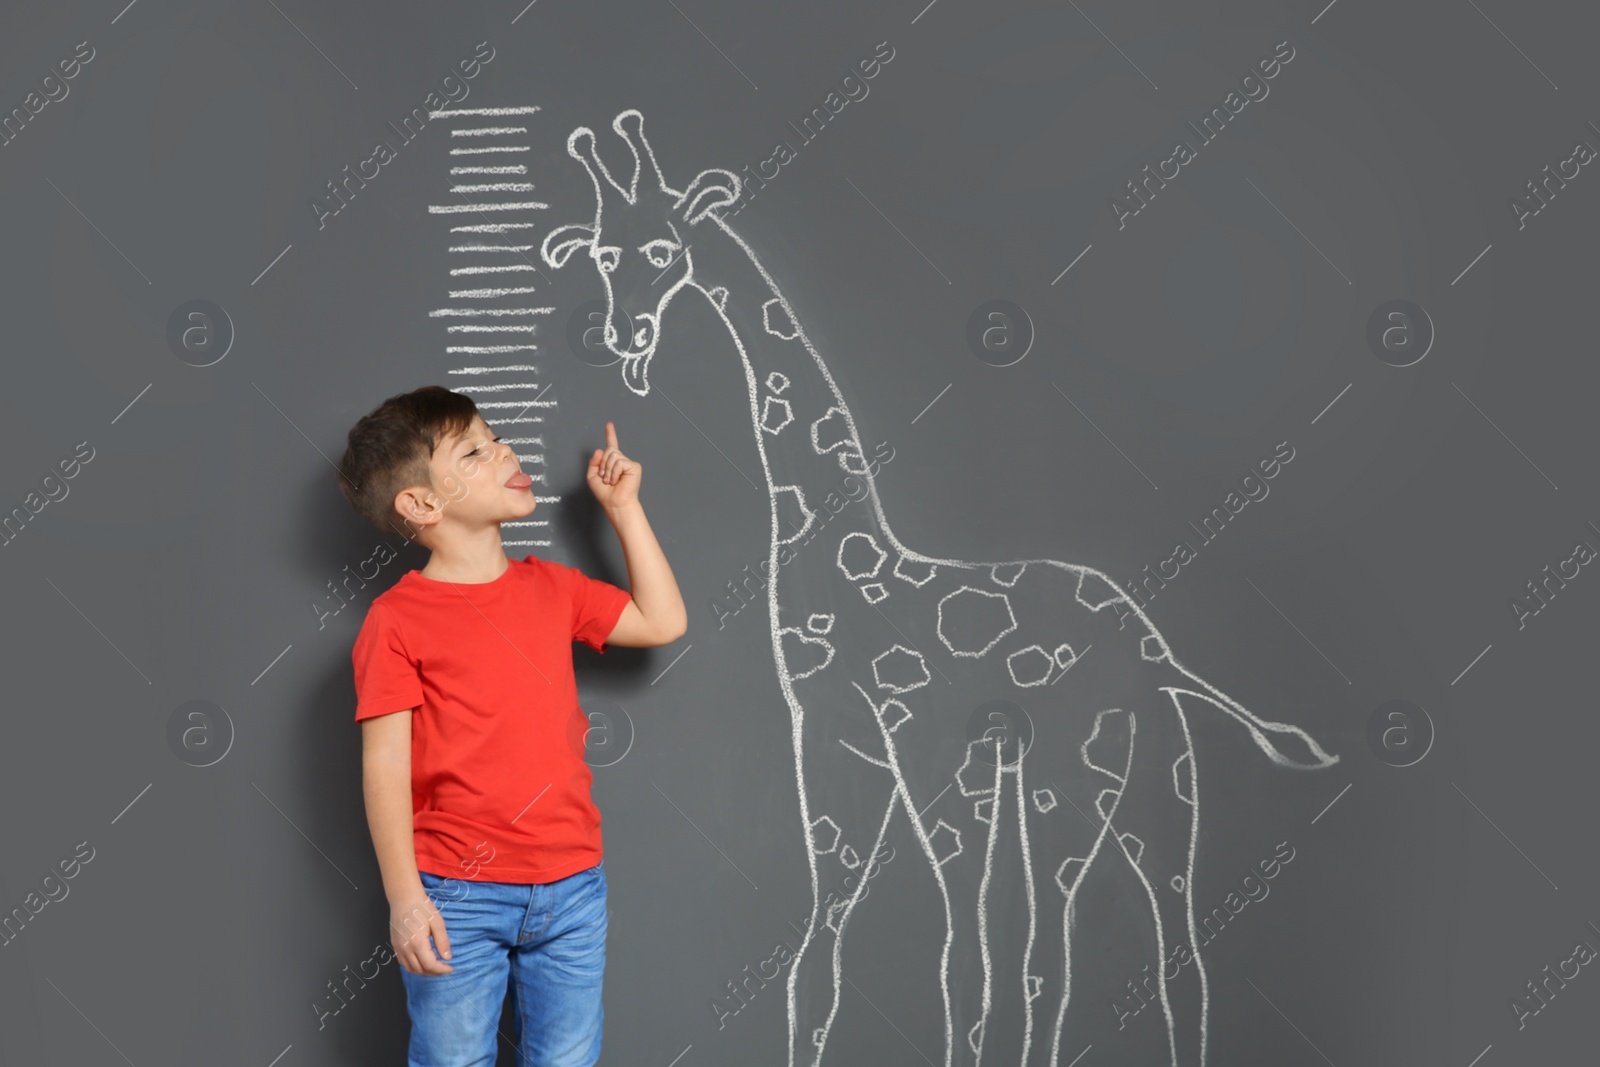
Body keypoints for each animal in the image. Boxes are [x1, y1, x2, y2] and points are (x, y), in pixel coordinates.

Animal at [537, 110, 1337, 1067]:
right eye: (601, 256)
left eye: (664, 249)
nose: (624, 337)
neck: (853, 559)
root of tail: (1156, 649)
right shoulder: (835, 747)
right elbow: (817, 961)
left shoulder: (927, 747)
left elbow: (962, 960)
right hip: (1148, 767)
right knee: (1124, 955)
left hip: (1083, 768)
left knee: (1074, 951)